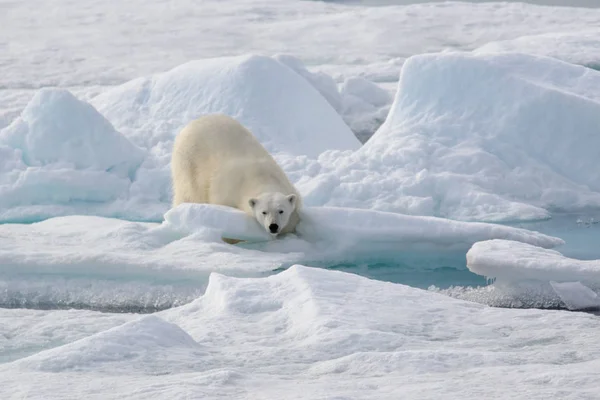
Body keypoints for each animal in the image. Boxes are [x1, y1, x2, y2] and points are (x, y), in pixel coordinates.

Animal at [170, 112, 300, 239]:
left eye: (281, 211)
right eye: (264, 212)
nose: (273, 226)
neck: (262, 177)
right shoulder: (226, 193)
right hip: (189, 162)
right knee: (189, 193)